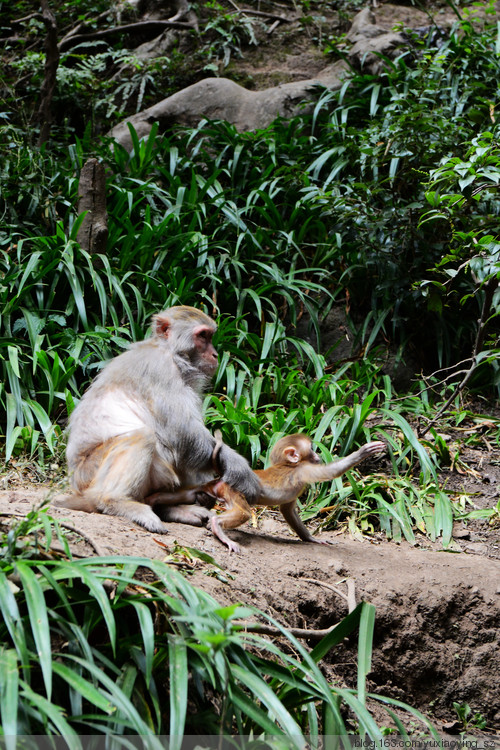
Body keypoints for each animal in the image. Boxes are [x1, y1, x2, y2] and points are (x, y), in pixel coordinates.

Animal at [59, 306, 262, 536]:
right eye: (203, 336)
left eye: (210, 336)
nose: (215, 354)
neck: (171, 352)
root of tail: (75, 479)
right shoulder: (162, 370)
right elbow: (184, 434)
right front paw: (241, 471)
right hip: (90, 472)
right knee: (143, 436)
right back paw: (117, 501)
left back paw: (172, 507)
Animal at [205, 434, 384, 552]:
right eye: (311, 449)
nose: (317, 455)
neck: (290, 465)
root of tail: (224, 479)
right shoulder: (303, 470)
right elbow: (331, 472)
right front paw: (362, 453)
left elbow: (287, 510)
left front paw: (311, 538)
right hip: (234, 490)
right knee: (244, 513)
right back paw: (216, 524)